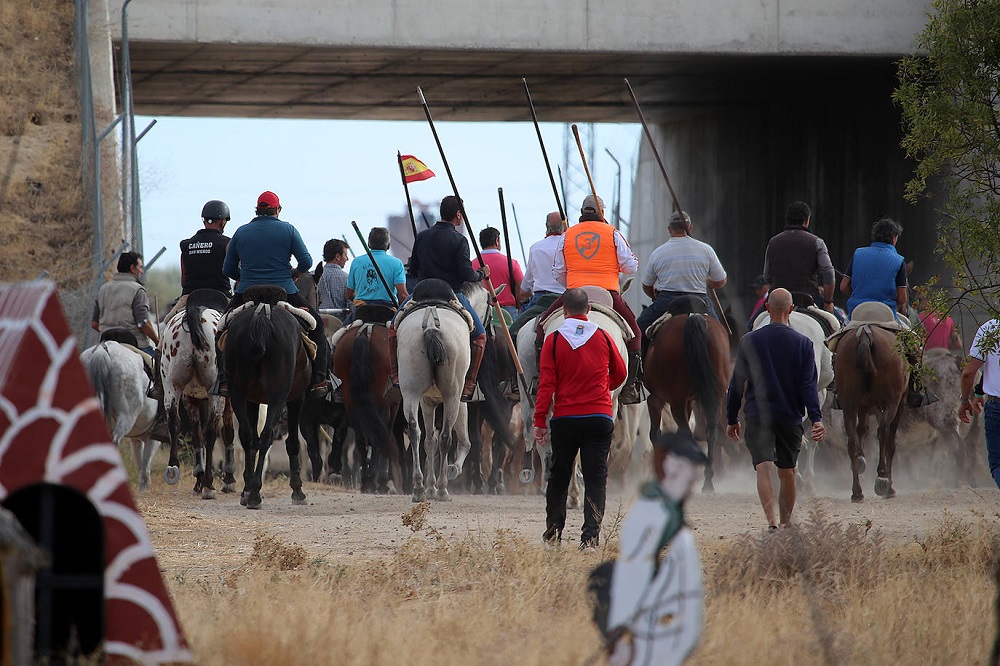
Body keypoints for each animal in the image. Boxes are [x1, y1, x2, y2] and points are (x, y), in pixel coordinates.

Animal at [80, 342, 162, 488]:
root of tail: (102, 349)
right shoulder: (152, 437)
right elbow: (145, 465)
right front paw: (145, 487)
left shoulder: (137, 439)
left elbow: (140, 462)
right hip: (126, 417)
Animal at [160, 288, 238, 496]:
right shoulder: (228, 400)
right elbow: (227, 432)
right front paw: (228, 479)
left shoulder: (190, 397)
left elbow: (196, 436)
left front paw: (198, 478)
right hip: (216, 394)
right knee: (211, 431)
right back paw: (209, 484)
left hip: (172, 385)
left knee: (174, 421)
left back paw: (174, 468)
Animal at [225, 286, 314, 508]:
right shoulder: (296, 398)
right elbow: (293, 443)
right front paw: (297, 490)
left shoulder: (251, 400)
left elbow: (251, 441)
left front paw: (246, 488)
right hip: (277, 396)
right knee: (266, 436)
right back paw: (255, 494)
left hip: (236, 393)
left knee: (248, 437)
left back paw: (249, 491)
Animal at [644, 298, 732, 490]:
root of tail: (693, 317)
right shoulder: (689, 401)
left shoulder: (655, 399)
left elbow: (655, 434)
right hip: (715, 395)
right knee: (711, 431)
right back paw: (707, 481)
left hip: (675, 398)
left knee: (687, 434)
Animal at [832, 320, 912, 500]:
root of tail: (864, 334)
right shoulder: (899, 403)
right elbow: (890, 442)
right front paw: (889, 485)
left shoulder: (863, 405)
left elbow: (862, 428)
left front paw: (861, 458)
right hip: (892, 402)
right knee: (883, 432)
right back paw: (882, 478)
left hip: (849, 403)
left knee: (851, 440)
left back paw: (857, 492)